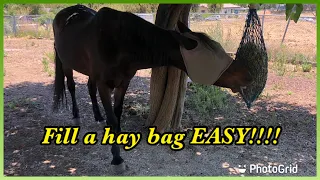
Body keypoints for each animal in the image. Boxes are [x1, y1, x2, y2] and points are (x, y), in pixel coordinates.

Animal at [52, 4, 252, 172]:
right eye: (210, 58)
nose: (248, 75)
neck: (119, 42)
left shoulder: (123, 83)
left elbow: (117, 114)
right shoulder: (104, 85)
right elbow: (113, 118)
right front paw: (117, 159)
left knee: (89, 88)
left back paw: (98, 116)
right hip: (66, 64)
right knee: (71, 86)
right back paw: (76, 116)